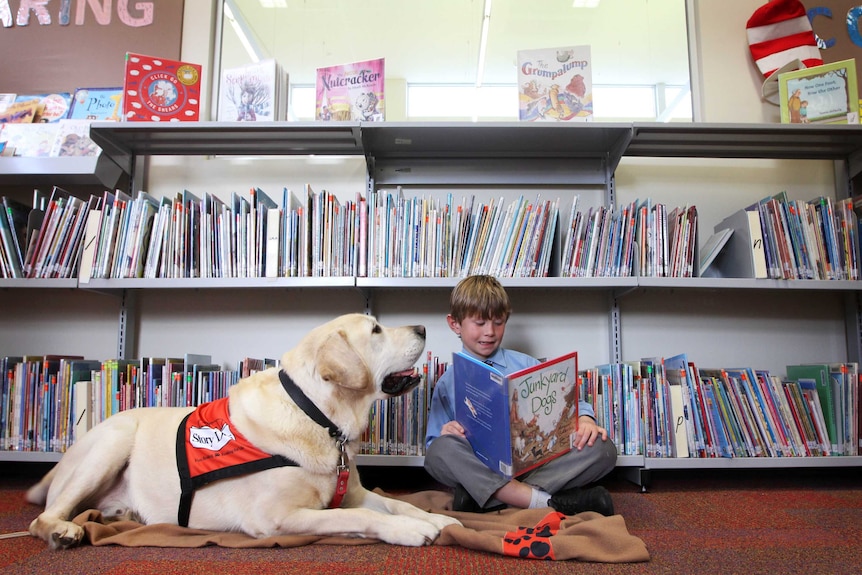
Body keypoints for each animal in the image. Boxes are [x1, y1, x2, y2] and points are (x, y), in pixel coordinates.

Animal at [27, 316, 462, 548]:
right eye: (375, 331)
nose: (423, 326)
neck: (316, 413)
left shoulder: (352, 492)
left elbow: (397, 504)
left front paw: (438, 520)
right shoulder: (276, 518)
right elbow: (359, 517)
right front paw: (409, 530)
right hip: (111, 441)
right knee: (44, 517)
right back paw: (63, 530)